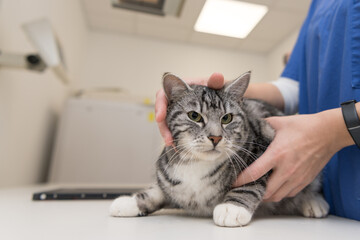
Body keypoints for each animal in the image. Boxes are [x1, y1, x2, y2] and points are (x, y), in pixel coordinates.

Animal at [110, 71, 330, 227]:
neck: (196, 164)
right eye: (194, 116)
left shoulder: (263, 147)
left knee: (311, 185)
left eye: (227, 118)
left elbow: (250, 181)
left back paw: (313, 203)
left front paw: (232, 207)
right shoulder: (168, 176)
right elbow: (157, 190)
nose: (215, 137)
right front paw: (130, 201)